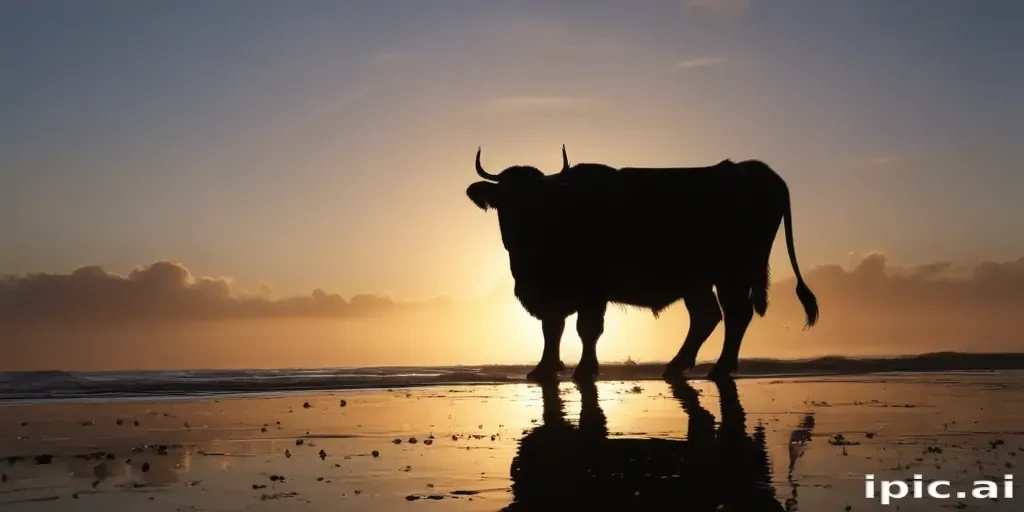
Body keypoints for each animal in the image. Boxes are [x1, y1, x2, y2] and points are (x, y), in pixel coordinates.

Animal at [465, 146, 819, 382]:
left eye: (540, 200)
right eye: (504, 201)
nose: (520, 234)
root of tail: (758, 171)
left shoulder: (592, 292)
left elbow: (586, 330)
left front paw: (584, 370)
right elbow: (552, 328)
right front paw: (543, 369)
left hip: (732, 274)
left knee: (735, 315)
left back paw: (717, 368)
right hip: (700, 281)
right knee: (708, 316)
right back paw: (678, 366)